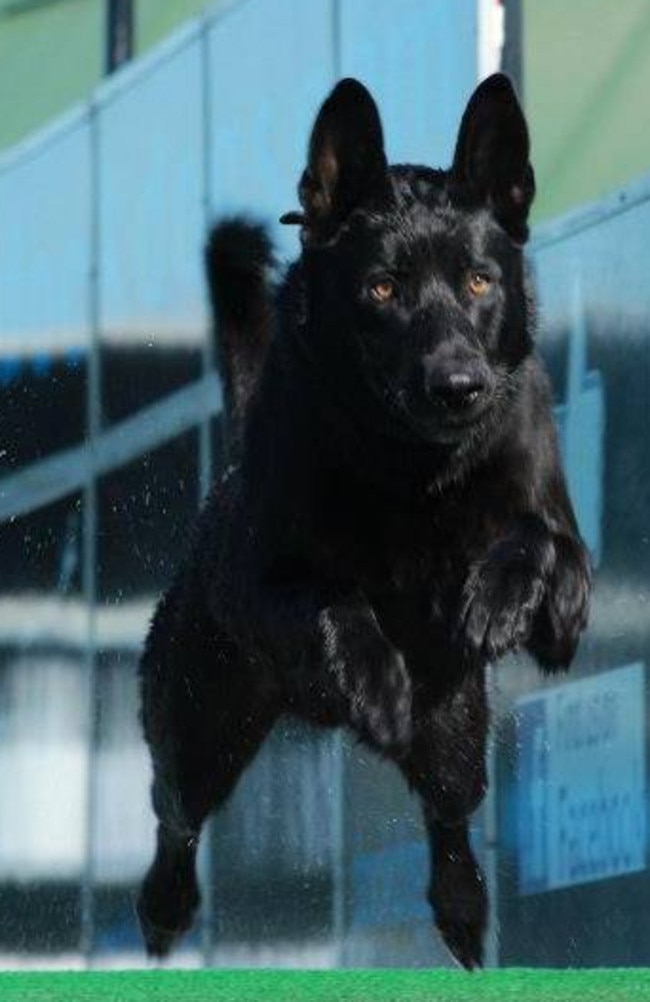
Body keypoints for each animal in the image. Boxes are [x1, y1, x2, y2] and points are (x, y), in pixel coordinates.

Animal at [135, 74, 588, 965]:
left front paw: (494, 599)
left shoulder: (565, 586)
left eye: (479, 282)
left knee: (449, 819)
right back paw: (164, 910)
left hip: (455, 734)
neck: (413, 474)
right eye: (383, 289)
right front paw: (378, 682)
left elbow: (537, 542)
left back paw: (463, 912)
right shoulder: (269, 588)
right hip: (200, 721)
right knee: (175, 815)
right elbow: (336, 601)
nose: (459, 385)